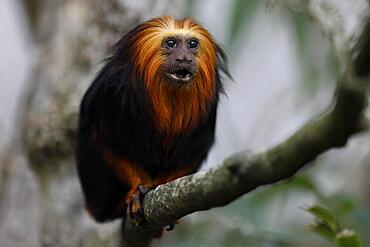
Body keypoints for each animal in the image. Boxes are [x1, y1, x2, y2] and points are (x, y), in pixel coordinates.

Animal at [76, 14, 228, 224]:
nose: (184, 58)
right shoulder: (110, 97)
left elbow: (188, 157)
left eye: (192, 44)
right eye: (171, 43)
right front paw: (136, 190)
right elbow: (109, 145)